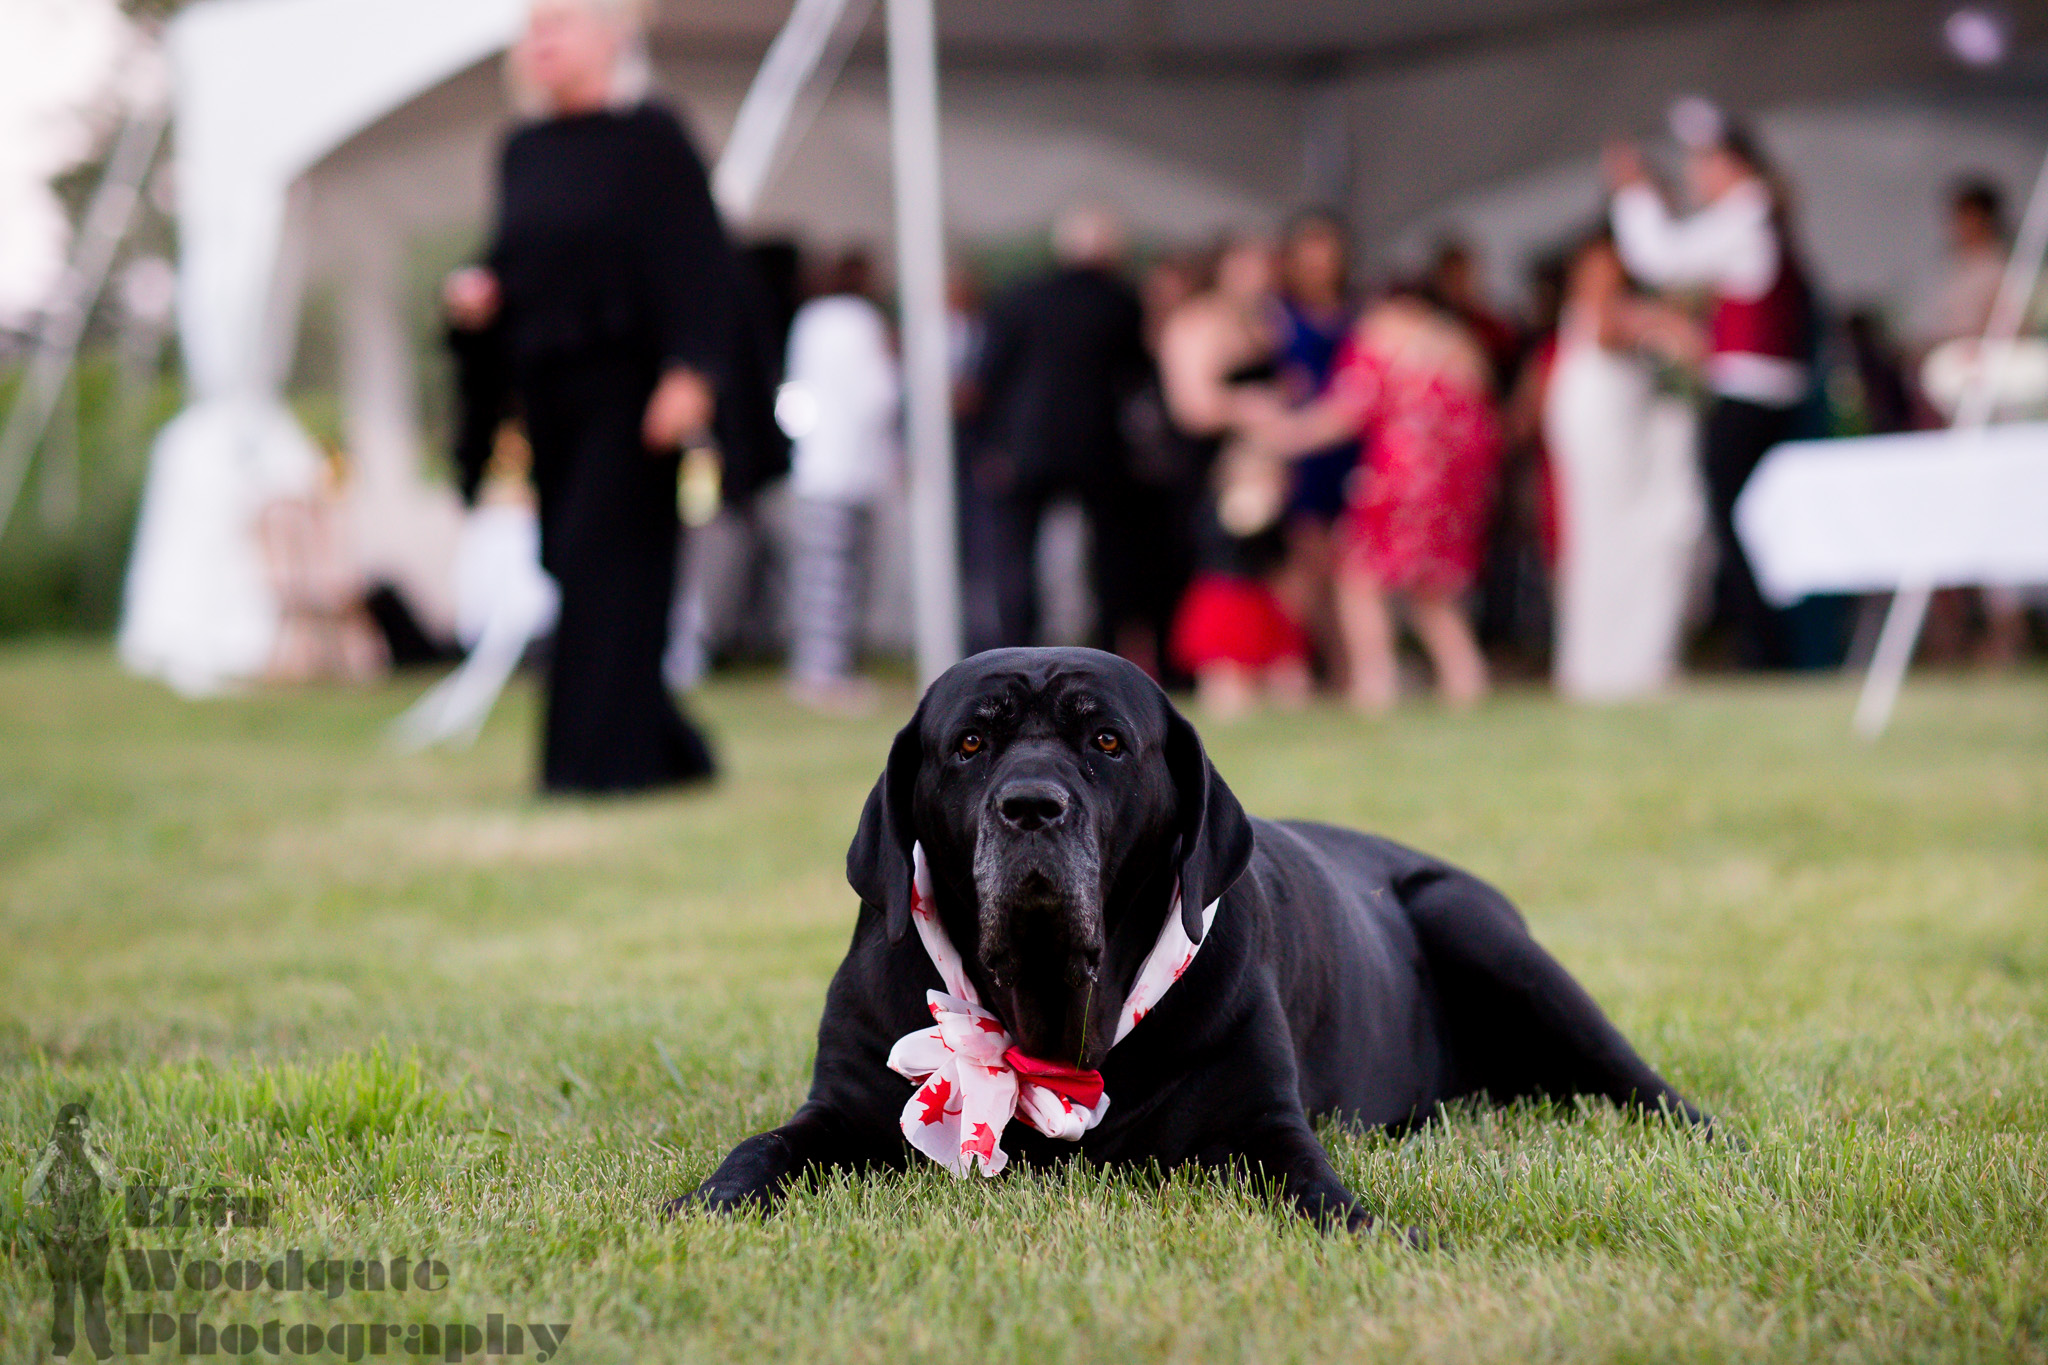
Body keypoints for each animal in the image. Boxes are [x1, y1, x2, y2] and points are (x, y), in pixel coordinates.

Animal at [679, 646, 1703, 1236]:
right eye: (969, 745)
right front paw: (704, 1201)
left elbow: (1318, 1189)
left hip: (1481, 927)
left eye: (1105, 740)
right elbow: (765, 1147)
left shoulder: (1263, 1126)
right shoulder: (846, 1105)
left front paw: (1377, 1230)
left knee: (1643, 1086)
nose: (1031, 806)